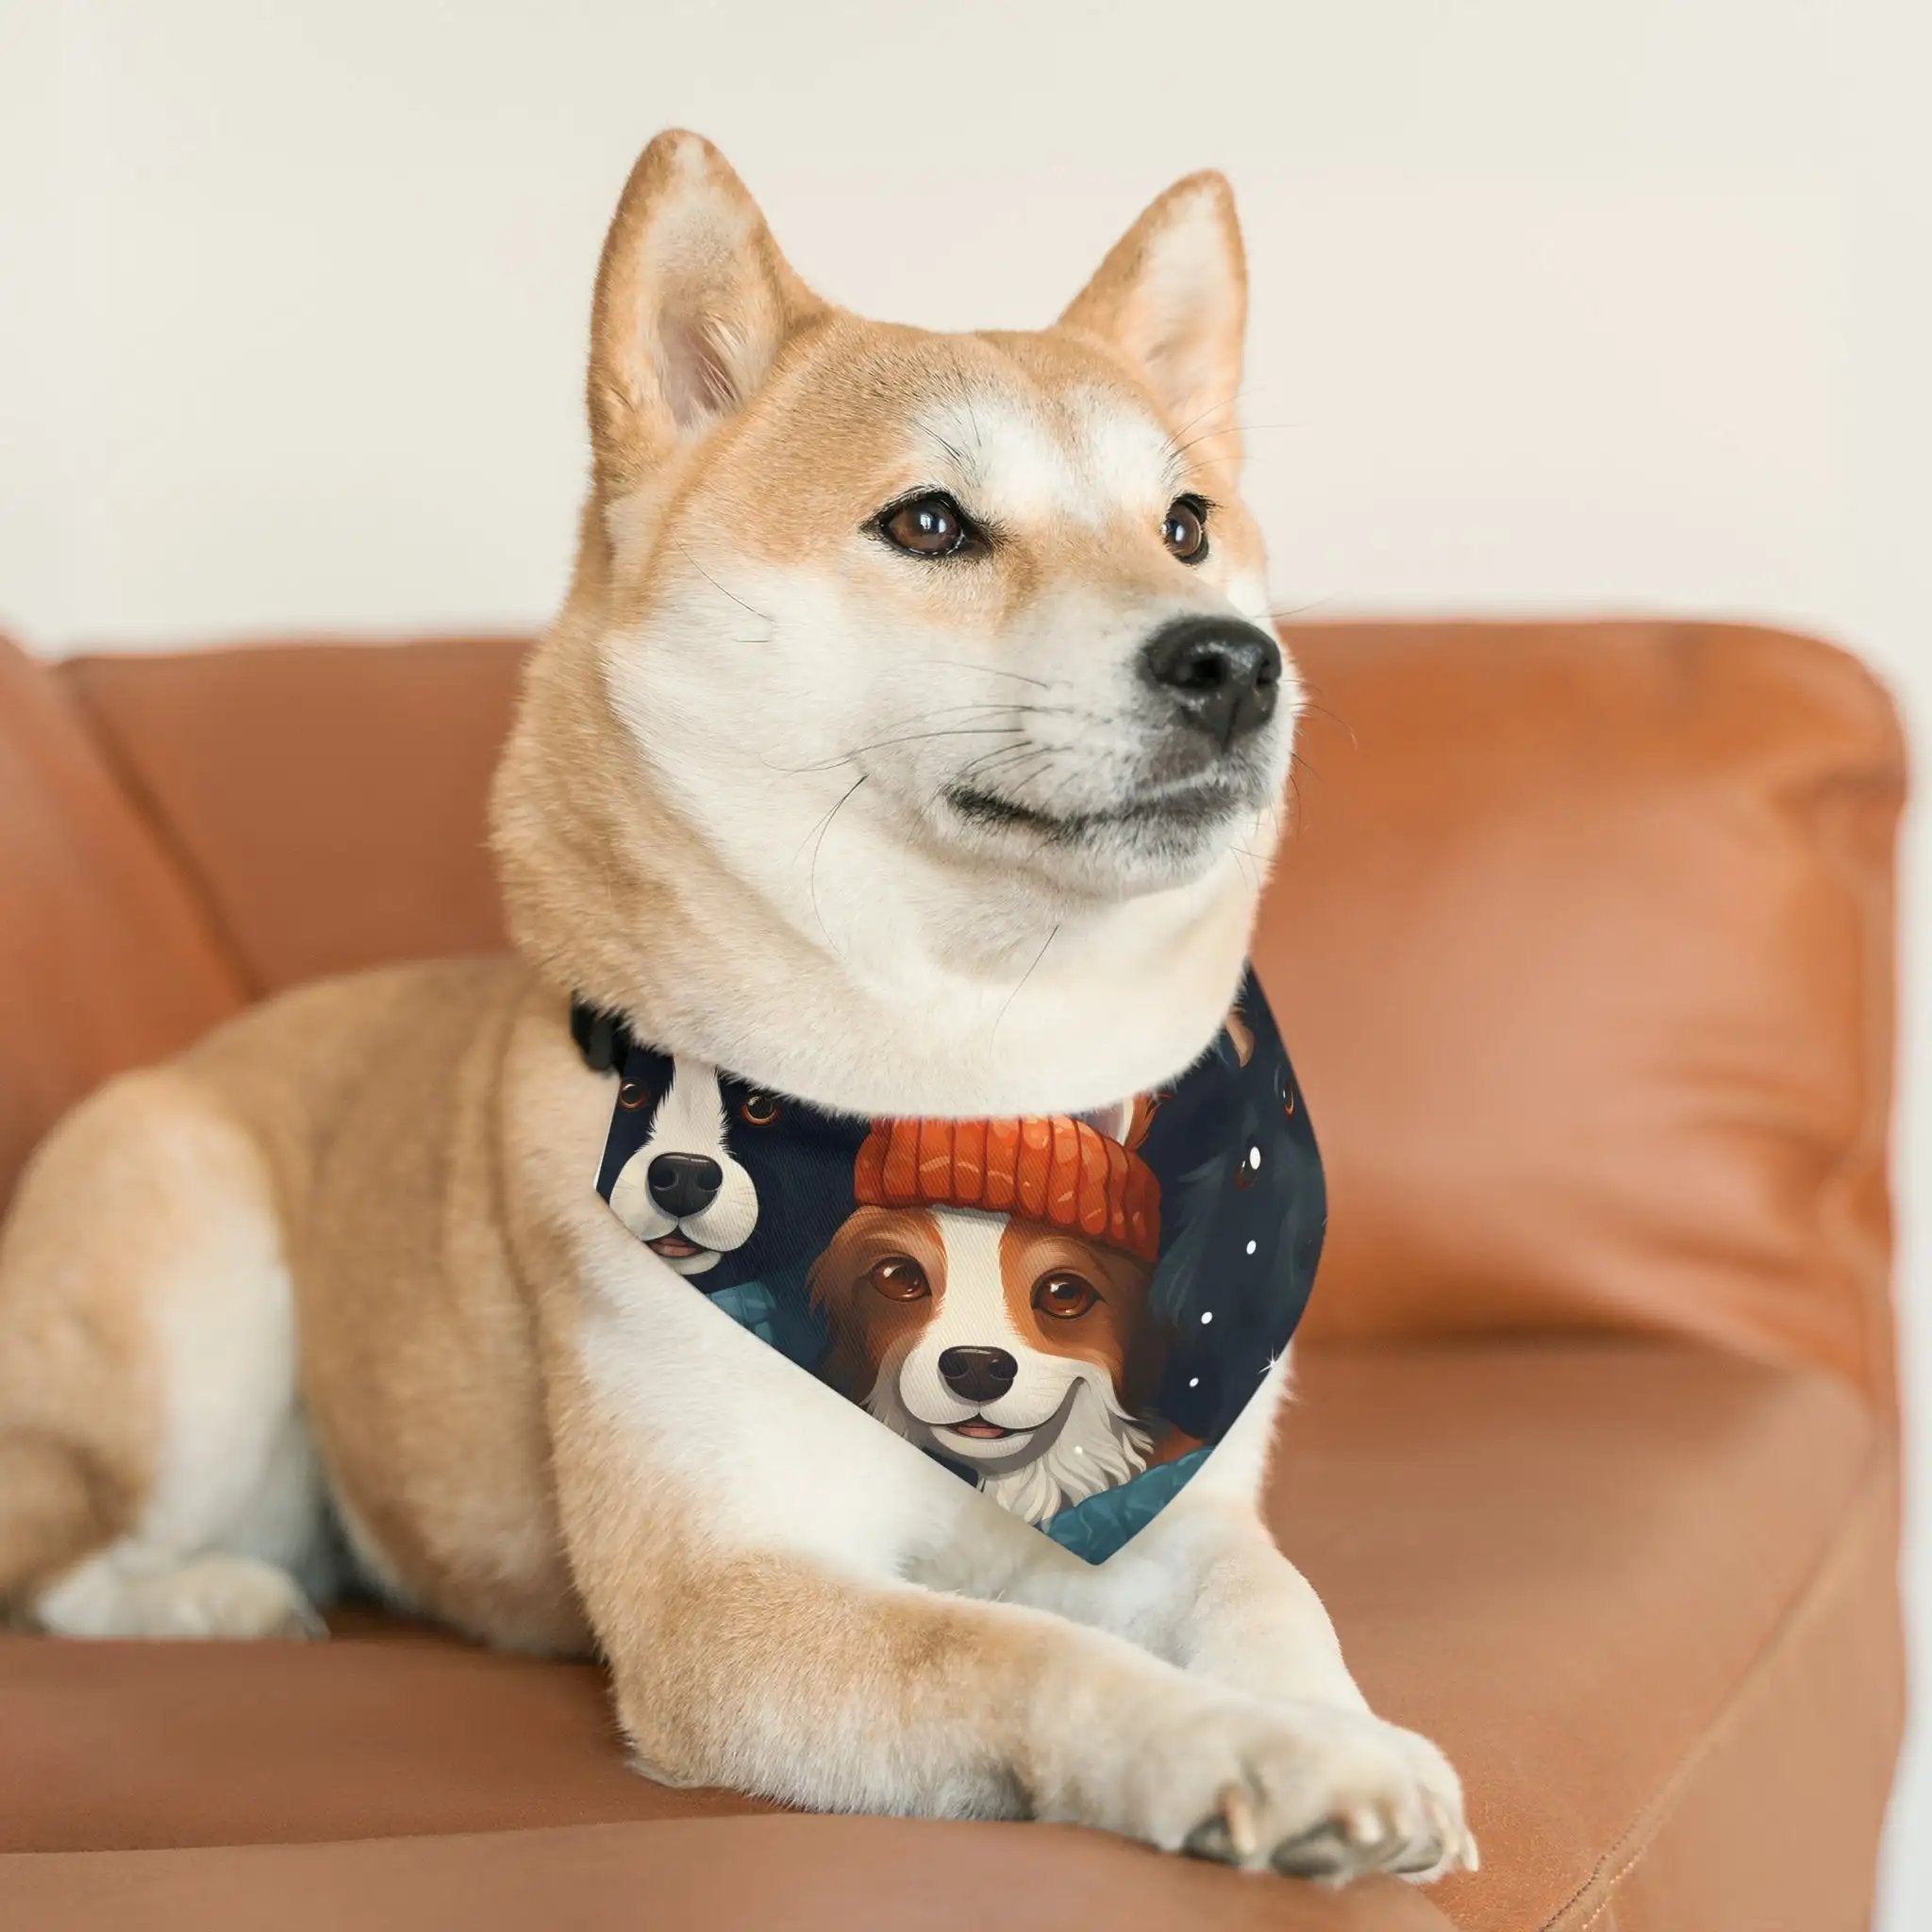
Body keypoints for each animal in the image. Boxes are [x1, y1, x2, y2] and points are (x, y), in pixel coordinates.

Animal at [0, 128, 1468, 1877]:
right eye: (929, 521)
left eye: (1186, 523)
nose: (1235, 662)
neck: (973, 1079)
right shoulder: (725, 1598)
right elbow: (1025, 1653)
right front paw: (1244, 1751)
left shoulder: (1176, 1509)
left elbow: (1272, 1603)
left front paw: (1344, 1731)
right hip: (194, 1290)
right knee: (63, 1558)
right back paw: (216, 1596)